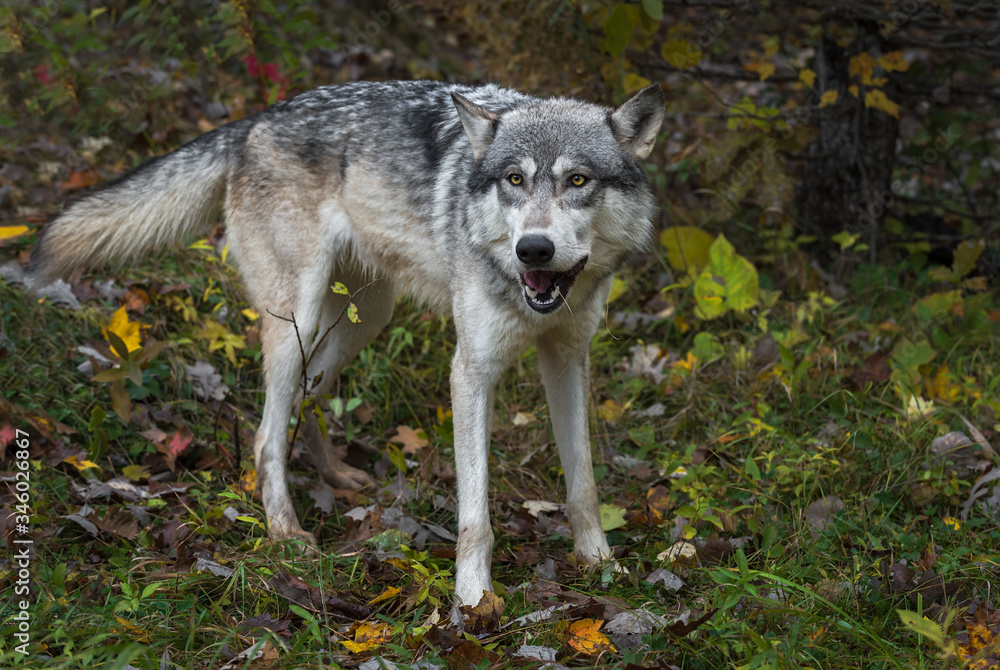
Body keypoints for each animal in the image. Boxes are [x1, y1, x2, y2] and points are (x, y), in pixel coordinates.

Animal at [30, 80, 664, 608]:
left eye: (578, 181)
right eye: (515, 180)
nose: (532, 249)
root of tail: (254, 120)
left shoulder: (568, 358)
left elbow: (583, 481)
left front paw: (600, 565)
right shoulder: (471, 371)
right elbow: (475, 516)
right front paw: (473, 597)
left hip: (365, 319)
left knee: (308, 396)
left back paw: (337, 475)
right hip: (297, 318)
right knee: (265, 435)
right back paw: (287, 532)